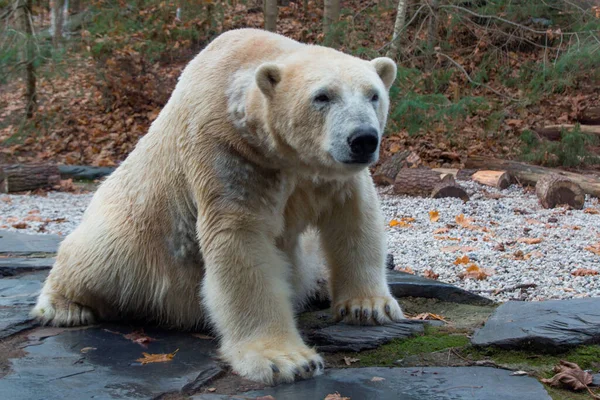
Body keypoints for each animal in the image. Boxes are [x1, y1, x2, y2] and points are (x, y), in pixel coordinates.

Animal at [31, 28, 404, 384]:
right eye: (322, 96)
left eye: (373, 94)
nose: (363, 139)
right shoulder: (227, 149)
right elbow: (239, 239)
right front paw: (285, 360)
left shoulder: (323, 175)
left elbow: (354, 216)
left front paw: (368, 307)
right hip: (135, 236)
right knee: (98, 254)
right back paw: (64, 307)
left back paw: (320, 286)